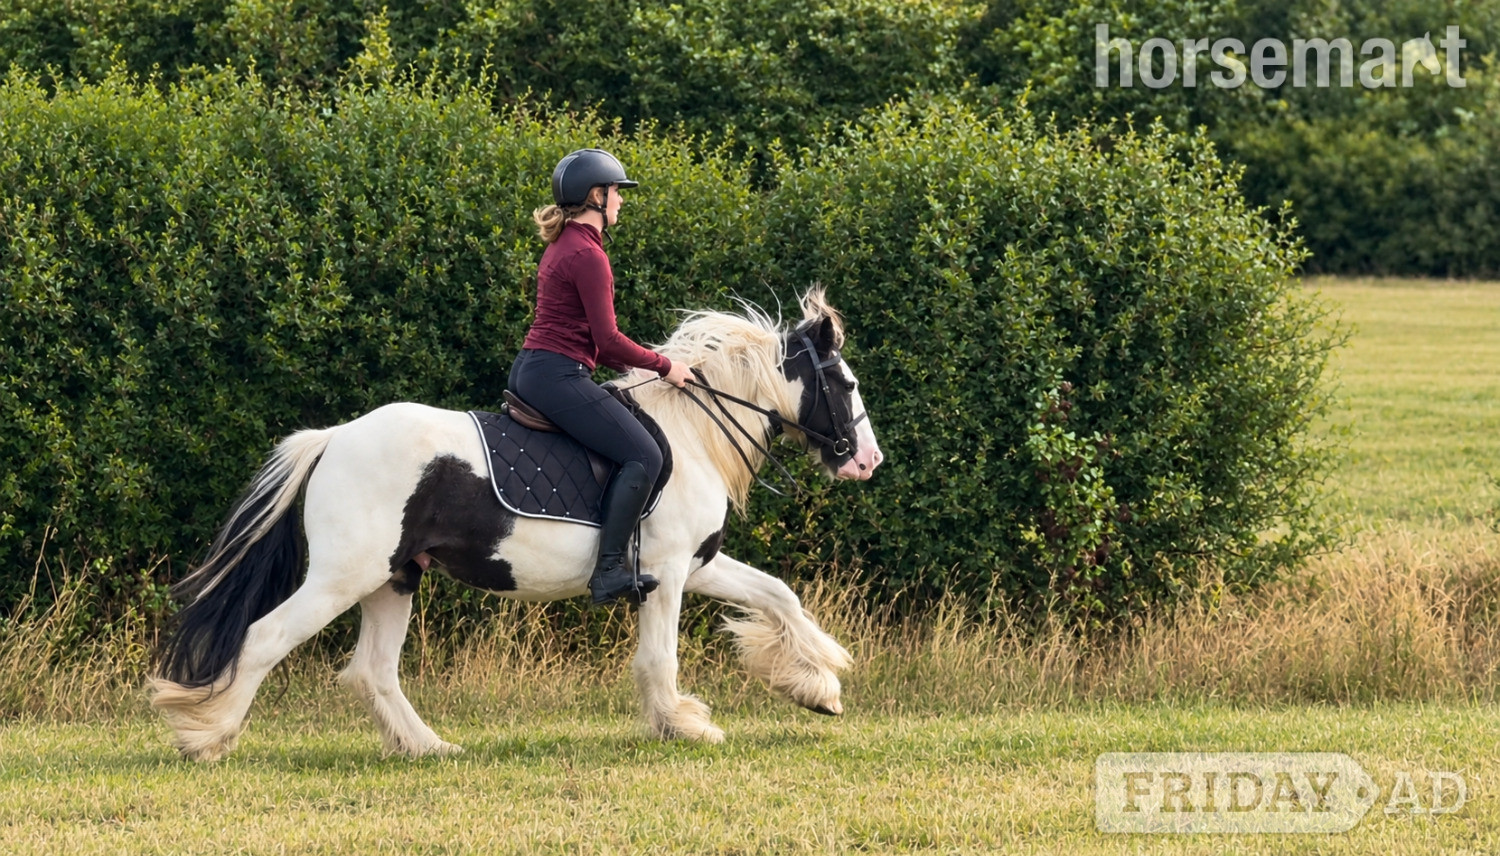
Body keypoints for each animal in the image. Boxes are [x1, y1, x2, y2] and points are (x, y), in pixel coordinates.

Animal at [149, 289, 884, 761]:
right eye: (845, 384)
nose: (867, 460)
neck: (694, 433)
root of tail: (332, 439)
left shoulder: (696, 564)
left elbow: (778, 595)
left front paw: (818, 688)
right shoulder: (668, 570)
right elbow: (660, 657)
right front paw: (685, 725)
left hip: (394, 579)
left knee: (372, 671)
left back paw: (429, 747)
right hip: (342, 577)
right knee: (264, 639)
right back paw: (207, 738)